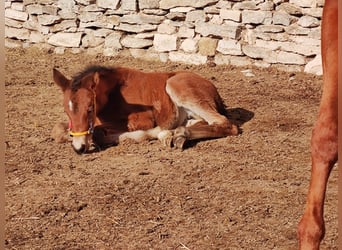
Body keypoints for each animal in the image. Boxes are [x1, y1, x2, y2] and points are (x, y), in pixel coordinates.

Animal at [52, 65, 238, 153]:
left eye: (90, 108)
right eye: (67, 111)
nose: (79, 148)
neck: (114, 93)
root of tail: (212, 87)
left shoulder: (143, 120)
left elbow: (98, 132)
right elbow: (58, 129)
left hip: (177, 86)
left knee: (225, 123)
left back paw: (174, 134)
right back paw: (177, 133)